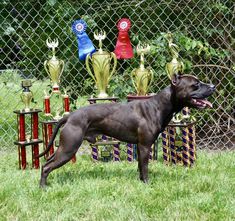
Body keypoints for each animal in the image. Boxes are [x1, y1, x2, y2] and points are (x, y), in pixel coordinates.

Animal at [38, 74, 215, 186]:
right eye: (195, 84)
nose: (213, 86)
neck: (159, 105)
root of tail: (69, 116)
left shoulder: (141, 147)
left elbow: (140, 167)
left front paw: (141, 182)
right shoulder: (145, 146)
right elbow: (145, 167)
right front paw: (147, 184)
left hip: (63, 147)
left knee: (46, 163)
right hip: (69, 148)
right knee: (46, 167)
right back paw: (43, 188)